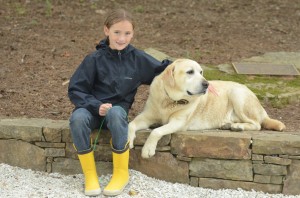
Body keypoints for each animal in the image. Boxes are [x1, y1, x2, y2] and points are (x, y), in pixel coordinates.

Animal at [127, 58, 286, 158]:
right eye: (190, 72)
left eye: (201, 72)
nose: (207, 84)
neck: (171, 100)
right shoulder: (146, 116)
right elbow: (131, 124)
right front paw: (128, 140)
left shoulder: (178, 122)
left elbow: (156, 131)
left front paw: (148, 149)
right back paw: (227, 124)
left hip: (237, 94)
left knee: (257, 124)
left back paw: (238, 126)